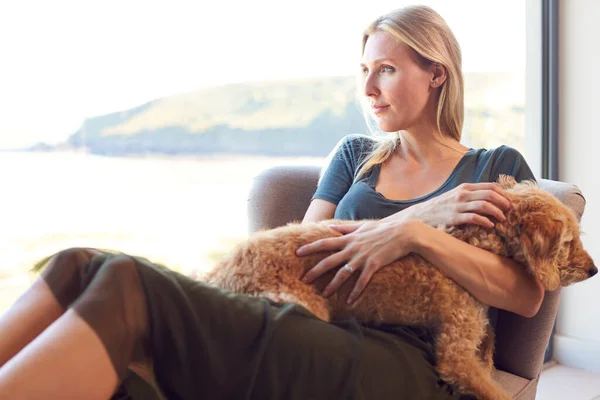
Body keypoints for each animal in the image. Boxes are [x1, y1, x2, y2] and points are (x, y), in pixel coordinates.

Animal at [202, 176, 596, 400]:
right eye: (568, 242)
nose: (594, 269)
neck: (471, 245)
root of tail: (215, 273)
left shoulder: (475, 333)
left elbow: (489, 350)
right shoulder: (455, 353)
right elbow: (491, 389)